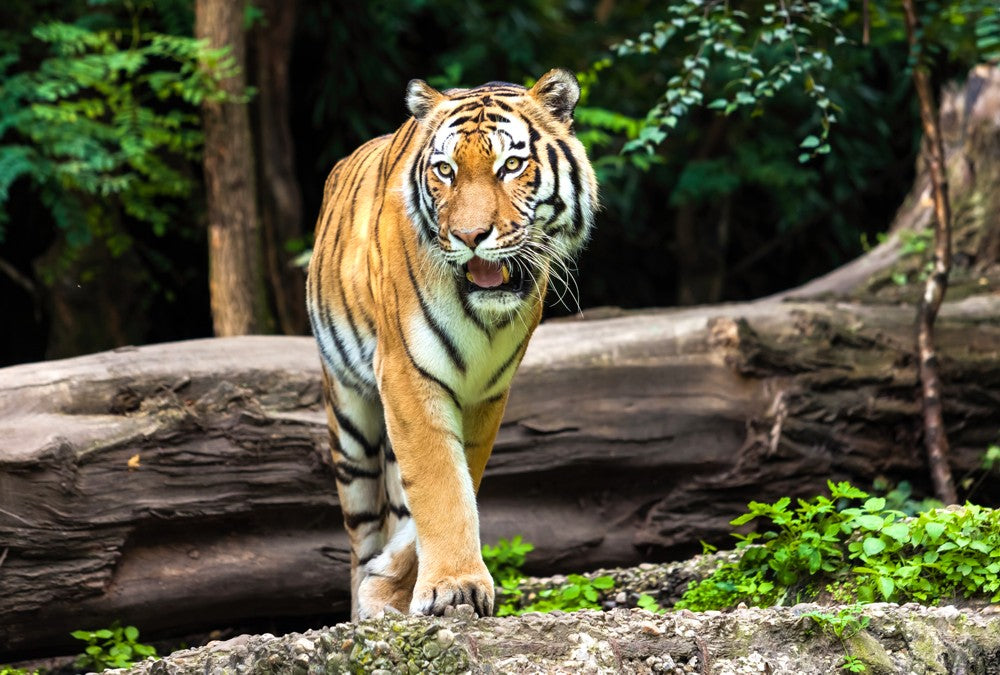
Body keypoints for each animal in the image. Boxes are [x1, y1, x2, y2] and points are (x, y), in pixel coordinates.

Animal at [304, 67, 596, 616]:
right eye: (445, 170)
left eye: (511, 165)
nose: (470, 235)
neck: (484, 317)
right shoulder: (406, 373)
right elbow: (441, 483)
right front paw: (452, 585)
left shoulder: (487, 391)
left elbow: (456, 484)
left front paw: (403, 585)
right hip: (349, 422)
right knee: (361, 536)